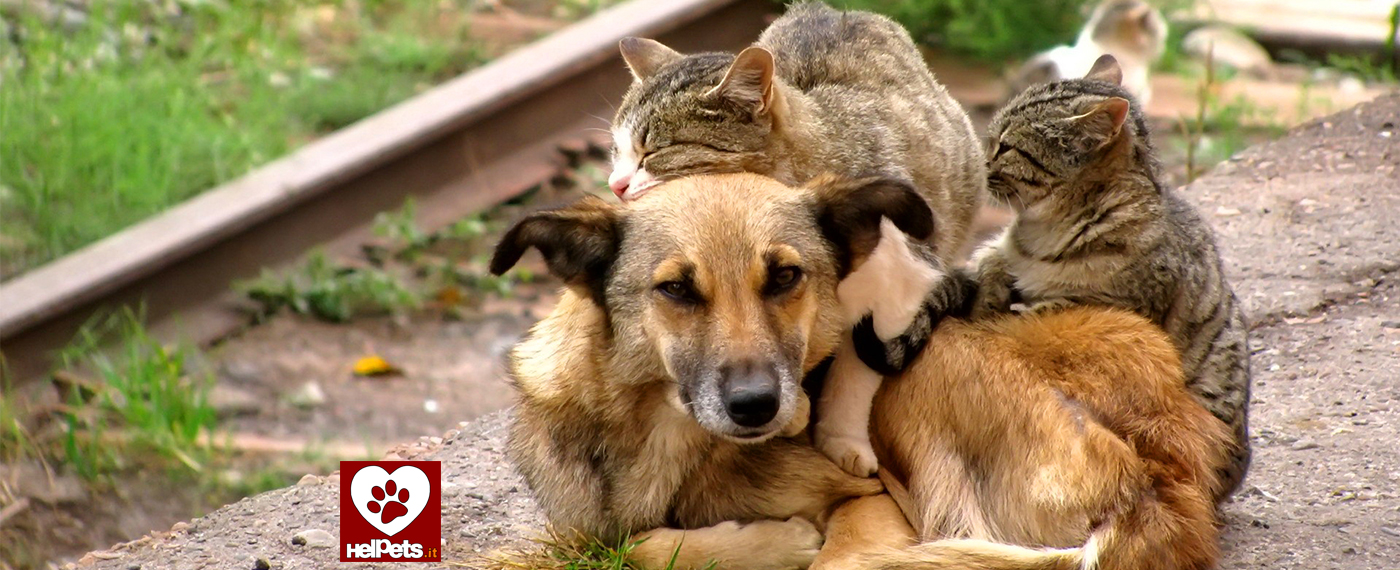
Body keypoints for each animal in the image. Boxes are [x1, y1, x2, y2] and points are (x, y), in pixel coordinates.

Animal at [490, 174, 1226, 570]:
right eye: (675, 289)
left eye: (785, 277)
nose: (757, 405)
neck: (664, 433)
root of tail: (1161, 484)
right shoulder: (583, 528)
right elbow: (629, 544)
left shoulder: (869, 501)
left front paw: (778, 538)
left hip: (920, 379)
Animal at [610, 2, 985, 478]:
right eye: (616, 151)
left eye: (654, 152)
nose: (615, 184)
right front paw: (794, 411)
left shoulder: (899, 283)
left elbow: (855, 370)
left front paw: (840, 436)